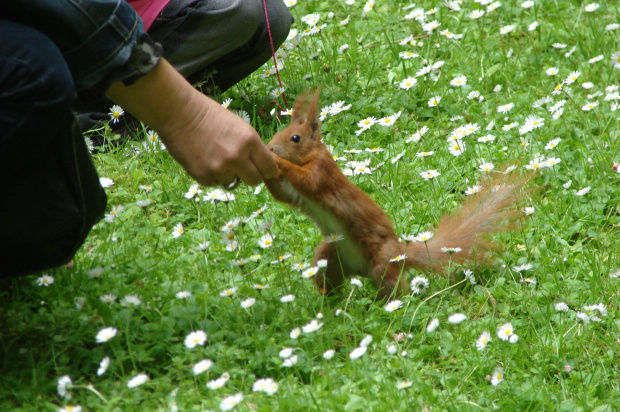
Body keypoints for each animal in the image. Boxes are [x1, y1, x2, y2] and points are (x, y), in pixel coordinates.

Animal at [264, 90, 524, 298]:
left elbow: (306, 181)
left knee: (393, 286)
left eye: (295, 138)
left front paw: (276, 161)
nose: (270, 147)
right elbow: (284, 194)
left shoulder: (322, 173)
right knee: (328, 280)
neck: (312, 155)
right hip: (329, 258)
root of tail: (401, 252)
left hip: (381, 262)